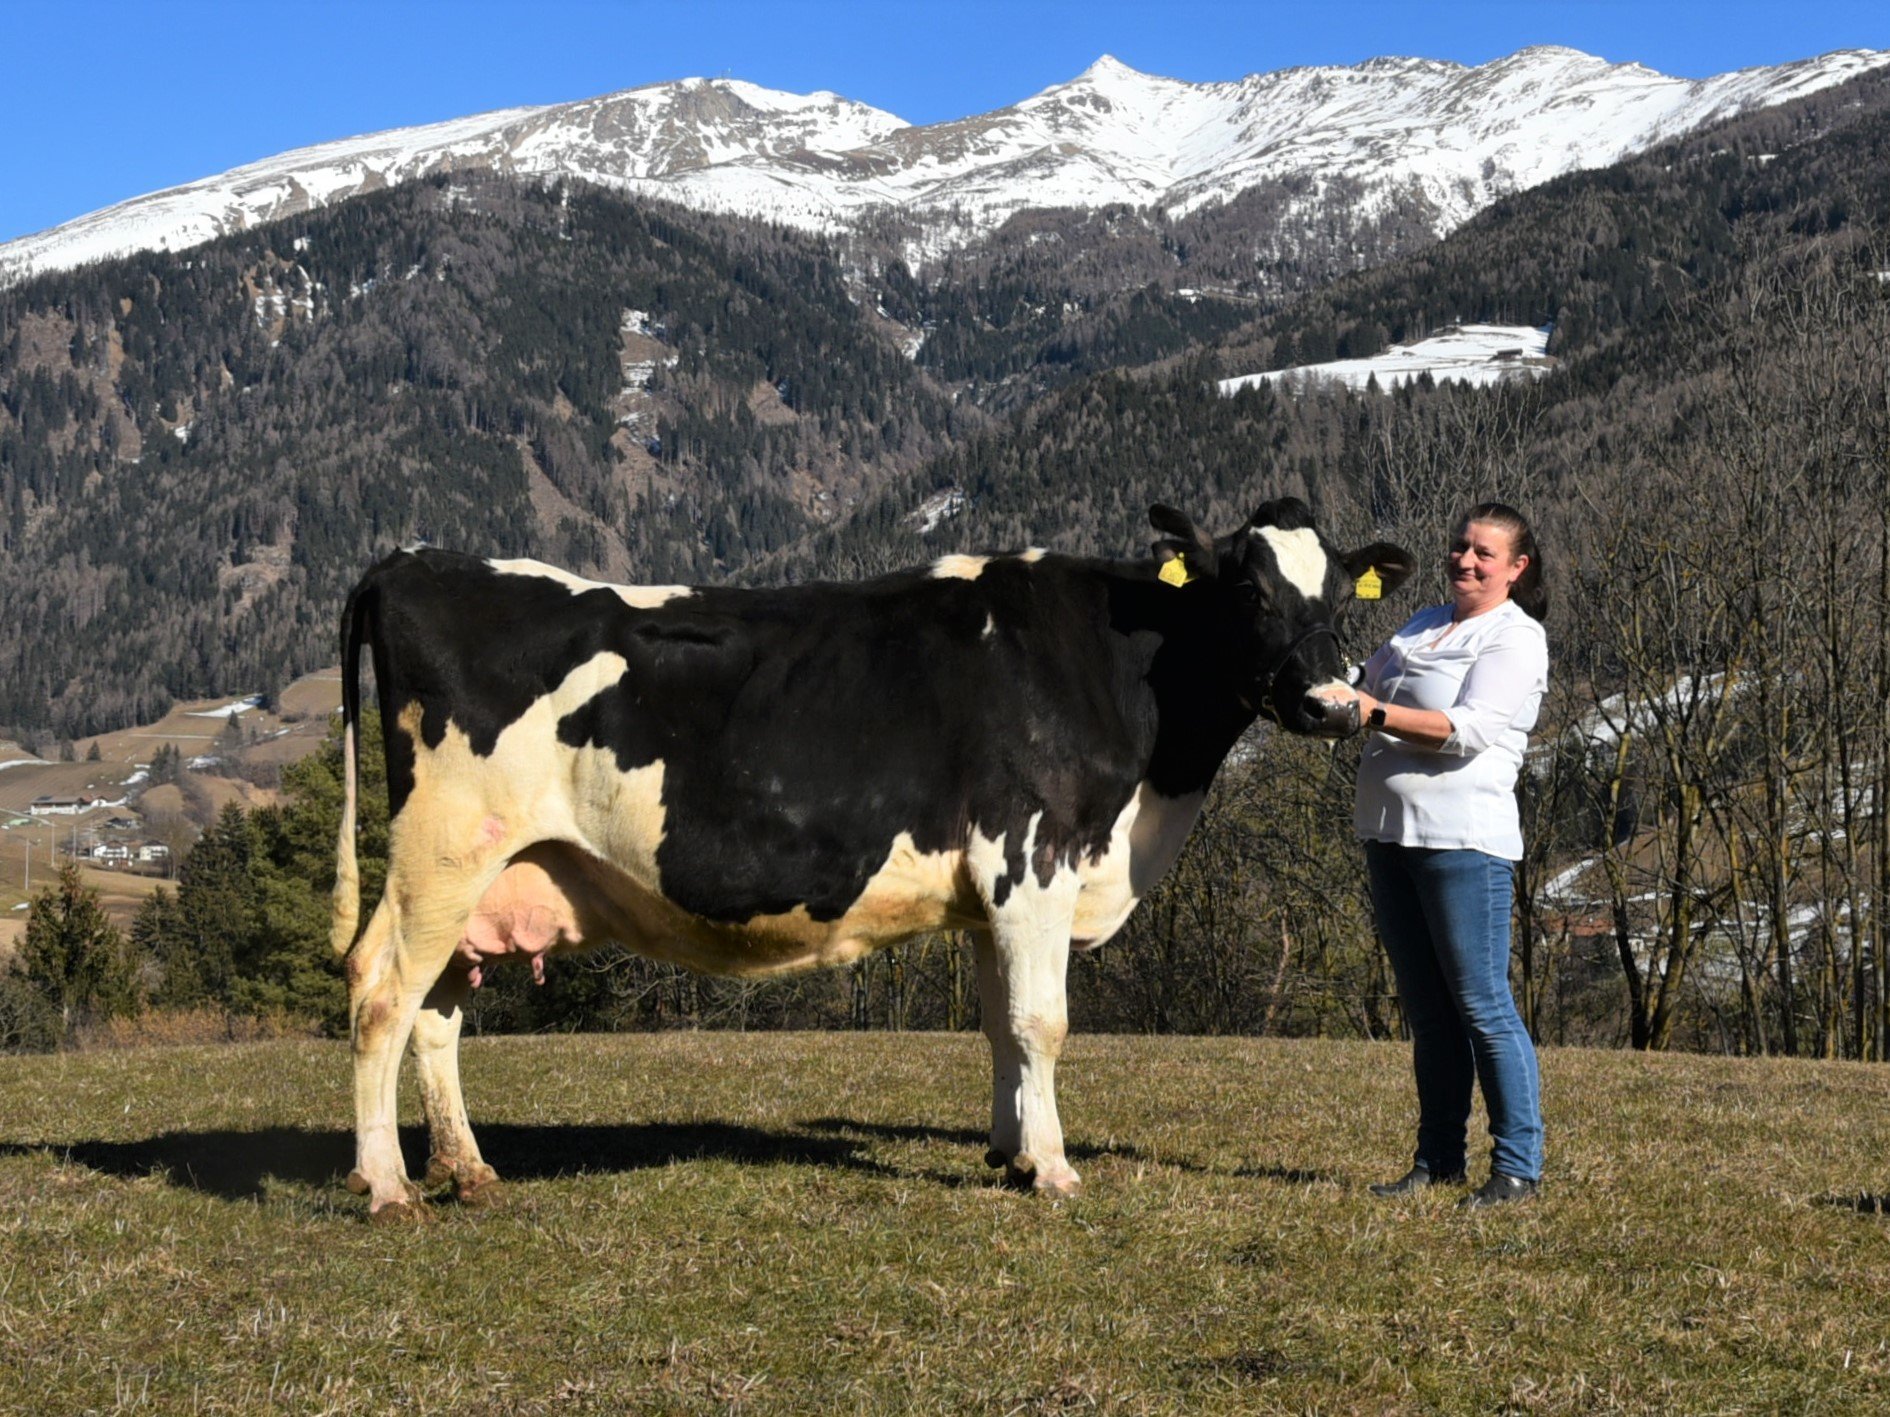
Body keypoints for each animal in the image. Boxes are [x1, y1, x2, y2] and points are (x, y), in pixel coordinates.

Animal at [332, 498, 1413, 1224]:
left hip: (483, 879)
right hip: (439, 854)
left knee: (436, 1015)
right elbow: (1043, 1021)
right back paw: (387, 1184)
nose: (1333, 703)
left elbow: (998, 1024)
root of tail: (414, 557)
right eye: (1249, 591)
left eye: (1334, 594)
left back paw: (468, 1171)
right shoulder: (1034, 856)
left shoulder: (991, 892)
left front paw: (1010, 1154)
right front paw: (1056, 1169)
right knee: (382, 995)